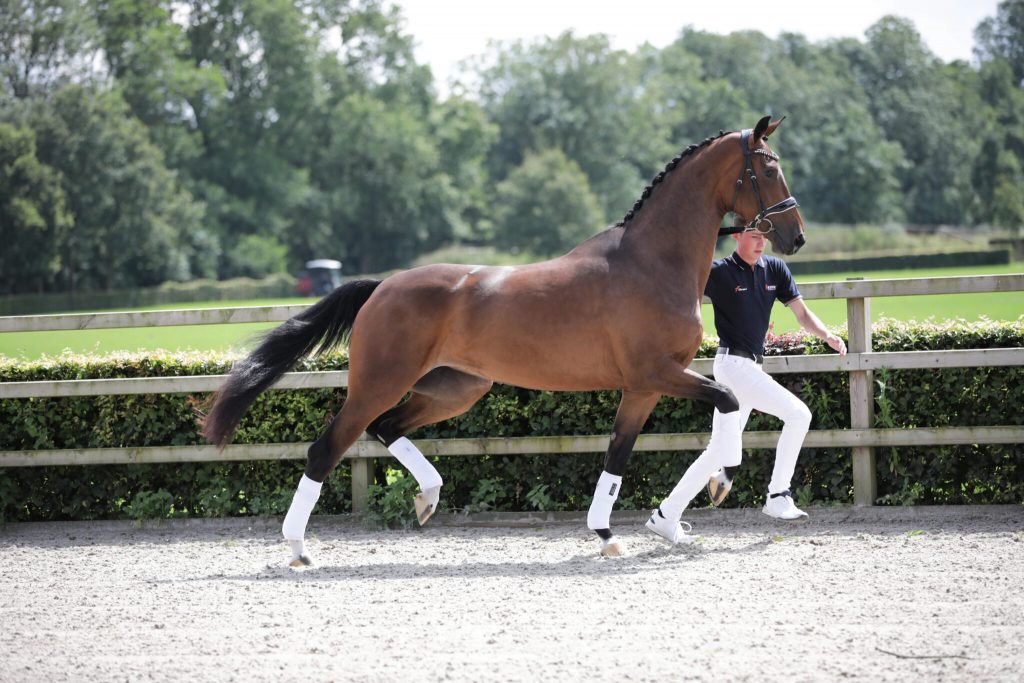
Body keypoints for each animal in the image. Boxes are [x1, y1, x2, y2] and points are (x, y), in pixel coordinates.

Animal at [203, 118, 802, 565]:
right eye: (769, 167)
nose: (795, 237)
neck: (651, 263)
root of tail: (382, 287)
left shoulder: (644, 387)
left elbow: (619, 454)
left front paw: (621, 533)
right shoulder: (656, 373)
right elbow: (728, 404)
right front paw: (720, 482)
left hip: (455, 388)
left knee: (387, 428)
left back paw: (427, 498)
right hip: (379, 383)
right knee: (327, 448)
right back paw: (299, 548)